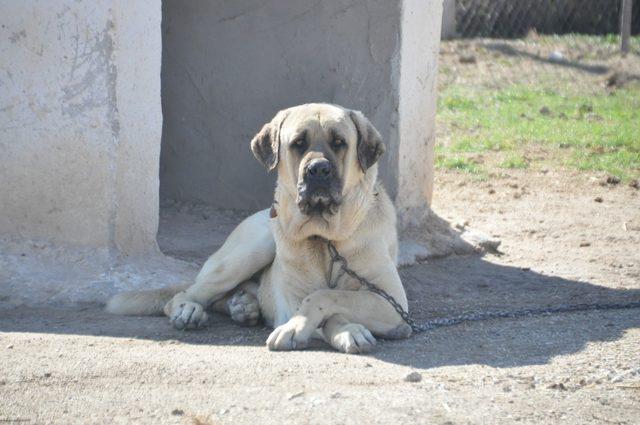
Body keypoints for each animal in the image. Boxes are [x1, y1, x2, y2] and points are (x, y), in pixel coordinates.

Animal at [105, 104, 412, 352]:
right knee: (188, 294)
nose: (318, 170)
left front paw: (344, 328)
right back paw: (192, 309)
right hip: (253, 248)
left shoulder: (392, 302)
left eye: (339, 142)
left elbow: (329, 295)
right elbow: (320, 301)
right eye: (298, 143)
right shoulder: (292, 299)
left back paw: (244, 305)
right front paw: (331, 329)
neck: (326, 240)